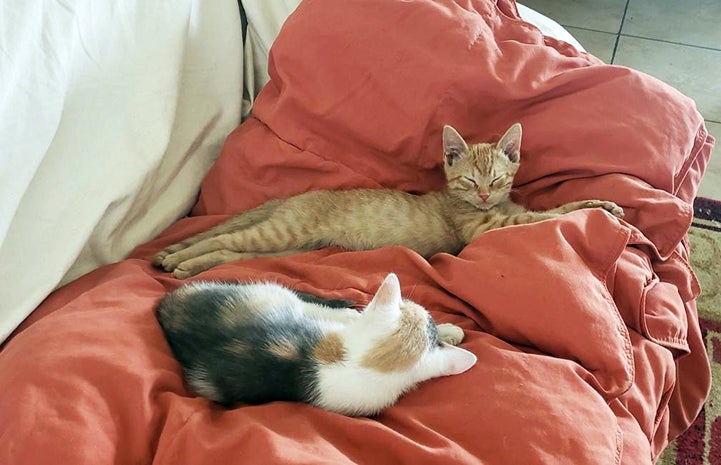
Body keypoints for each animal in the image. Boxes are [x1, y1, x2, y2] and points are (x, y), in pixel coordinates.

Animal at [150, 121, 620, 278]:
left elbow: (544, 209)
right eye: (469, 181)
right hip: (281, 232)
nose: (486, 195)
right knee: (216, 239)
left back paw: (185, 265)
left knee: (227, 250)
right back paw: (176, 259)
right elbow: (546, 215)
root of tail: (299, 196)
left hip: (284, 247)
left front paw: (608, 205)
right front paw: (596, 208)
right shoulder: (486, 228)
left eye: (499, 178)